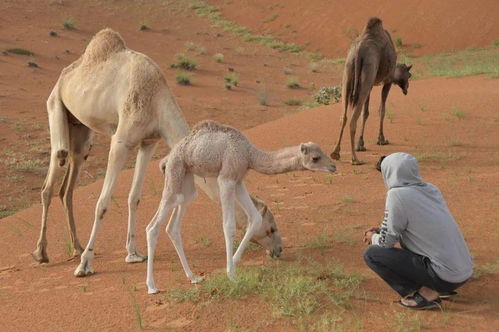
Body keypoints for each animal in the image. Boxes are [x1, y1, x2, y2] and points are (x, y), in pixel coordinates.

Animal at [146, 120, 338, 294]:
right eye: (315, 158)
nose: (333, 166)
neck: (248, 154)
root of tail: (166, 159)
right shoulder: (226, 179)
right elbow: (229, 226)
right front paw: (231, 273)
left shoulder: (238, 181)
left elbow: (255, 217)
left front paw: (234, 261)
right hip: (175, 174)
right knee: (152, 227)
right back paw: (152, 286)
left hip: (187, 182)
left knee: (173, 226)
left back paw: (193, 277)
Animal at [332, 16, 414, 165]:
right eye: (409, 75)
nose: (406, 89)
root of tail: (359, 50)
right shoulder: (387, 81)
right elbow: (381, 110)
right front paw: (381, 139)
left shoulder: (369, 85)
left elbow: (366, 113)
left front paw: (361, 144)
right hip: (368, 70)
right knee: (353, 120)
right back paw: (355, 159)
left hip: (348, 73)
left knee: (344, 116)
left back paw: (335, 153)